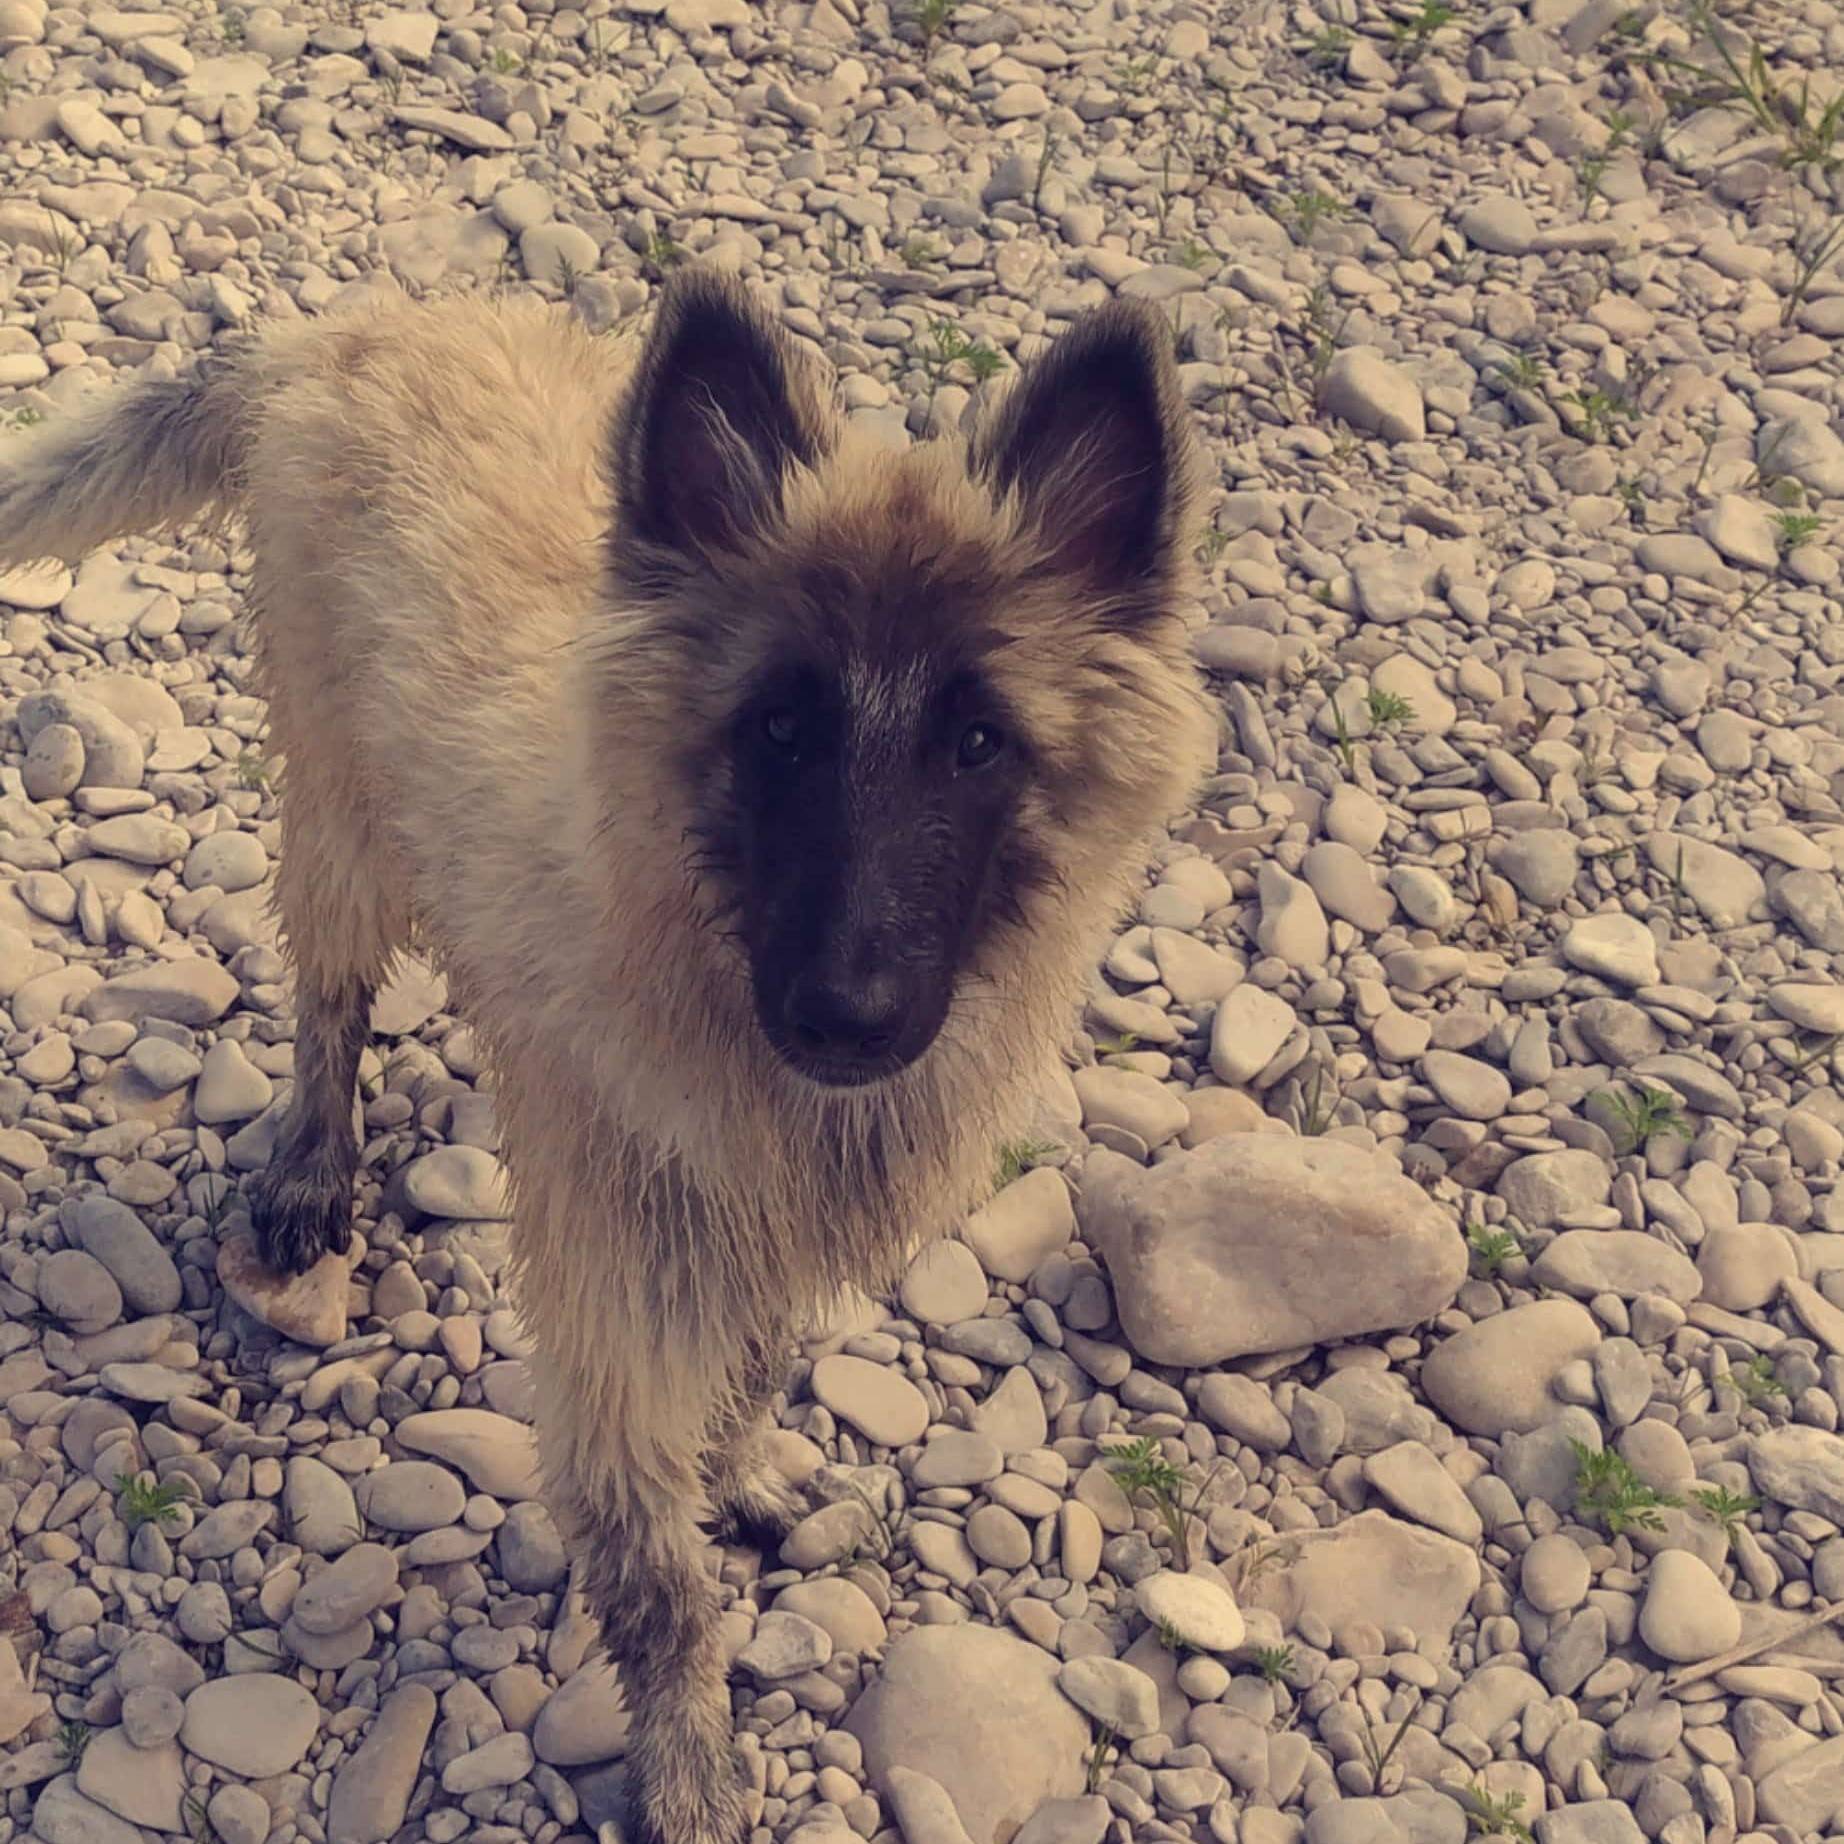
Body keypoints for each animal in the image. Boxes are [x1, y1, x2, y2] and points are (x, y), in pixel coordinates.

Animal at [3, 272, 1224, 1844]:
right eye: (778, 727)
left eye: (977, 741)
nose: (844, 1016)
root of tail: (350, 329)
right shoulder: (612, 1323)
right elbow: (662, 1592)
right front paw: (690, 1773)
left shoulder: (759, 1241)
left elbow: (752, 1377)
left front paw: (742, 1467)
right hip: (341, 821)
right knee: (329, 1006)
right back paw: (312, 1171)